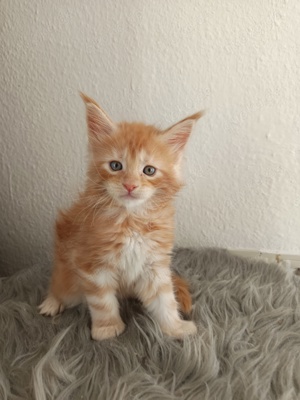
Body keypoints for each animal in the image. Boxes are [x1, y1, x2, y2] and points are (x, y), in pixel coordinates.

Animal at [38, 94, 204, 340]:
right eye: (116, 166)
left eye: (149, 170)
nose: (130, 185)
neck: (131, 219)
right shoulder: (92, 264)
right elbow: (102, 302)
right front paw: (107, 330)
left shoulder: (154, 265)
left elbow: (165, 299)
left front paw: (175, 328)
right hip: (67, 272)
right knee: (60, 286)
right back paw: (51, 302)